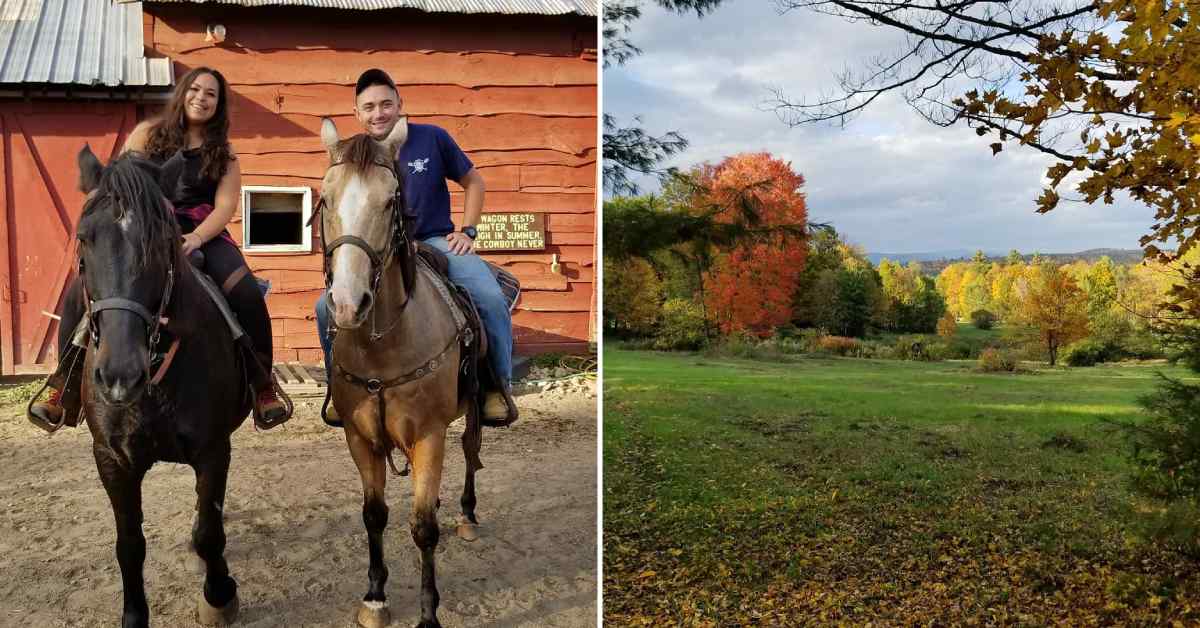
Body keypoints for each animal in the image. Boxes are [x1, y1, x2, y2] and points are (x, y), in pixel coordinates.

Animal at [70, 146, 250, 624]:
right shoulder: (112, 459)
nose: (120, 375)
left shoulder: (213, 450)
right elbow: (129, 544)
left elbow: (210, 531)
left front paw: (219, 595)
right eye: (84, 238)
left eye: (163, 242)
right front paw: (134, 615)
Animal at [319, 117, 487, 628]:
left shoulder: (429, 434)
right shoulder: (360, 438)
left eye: (391, 199)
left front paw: (429, 614)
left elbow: (423, 529)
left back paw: (467, 516)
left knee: (470, 451)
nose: (348, 304)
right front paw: (375, 596)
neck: (383, 347)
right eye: (325, 198)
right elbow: (374, 514)